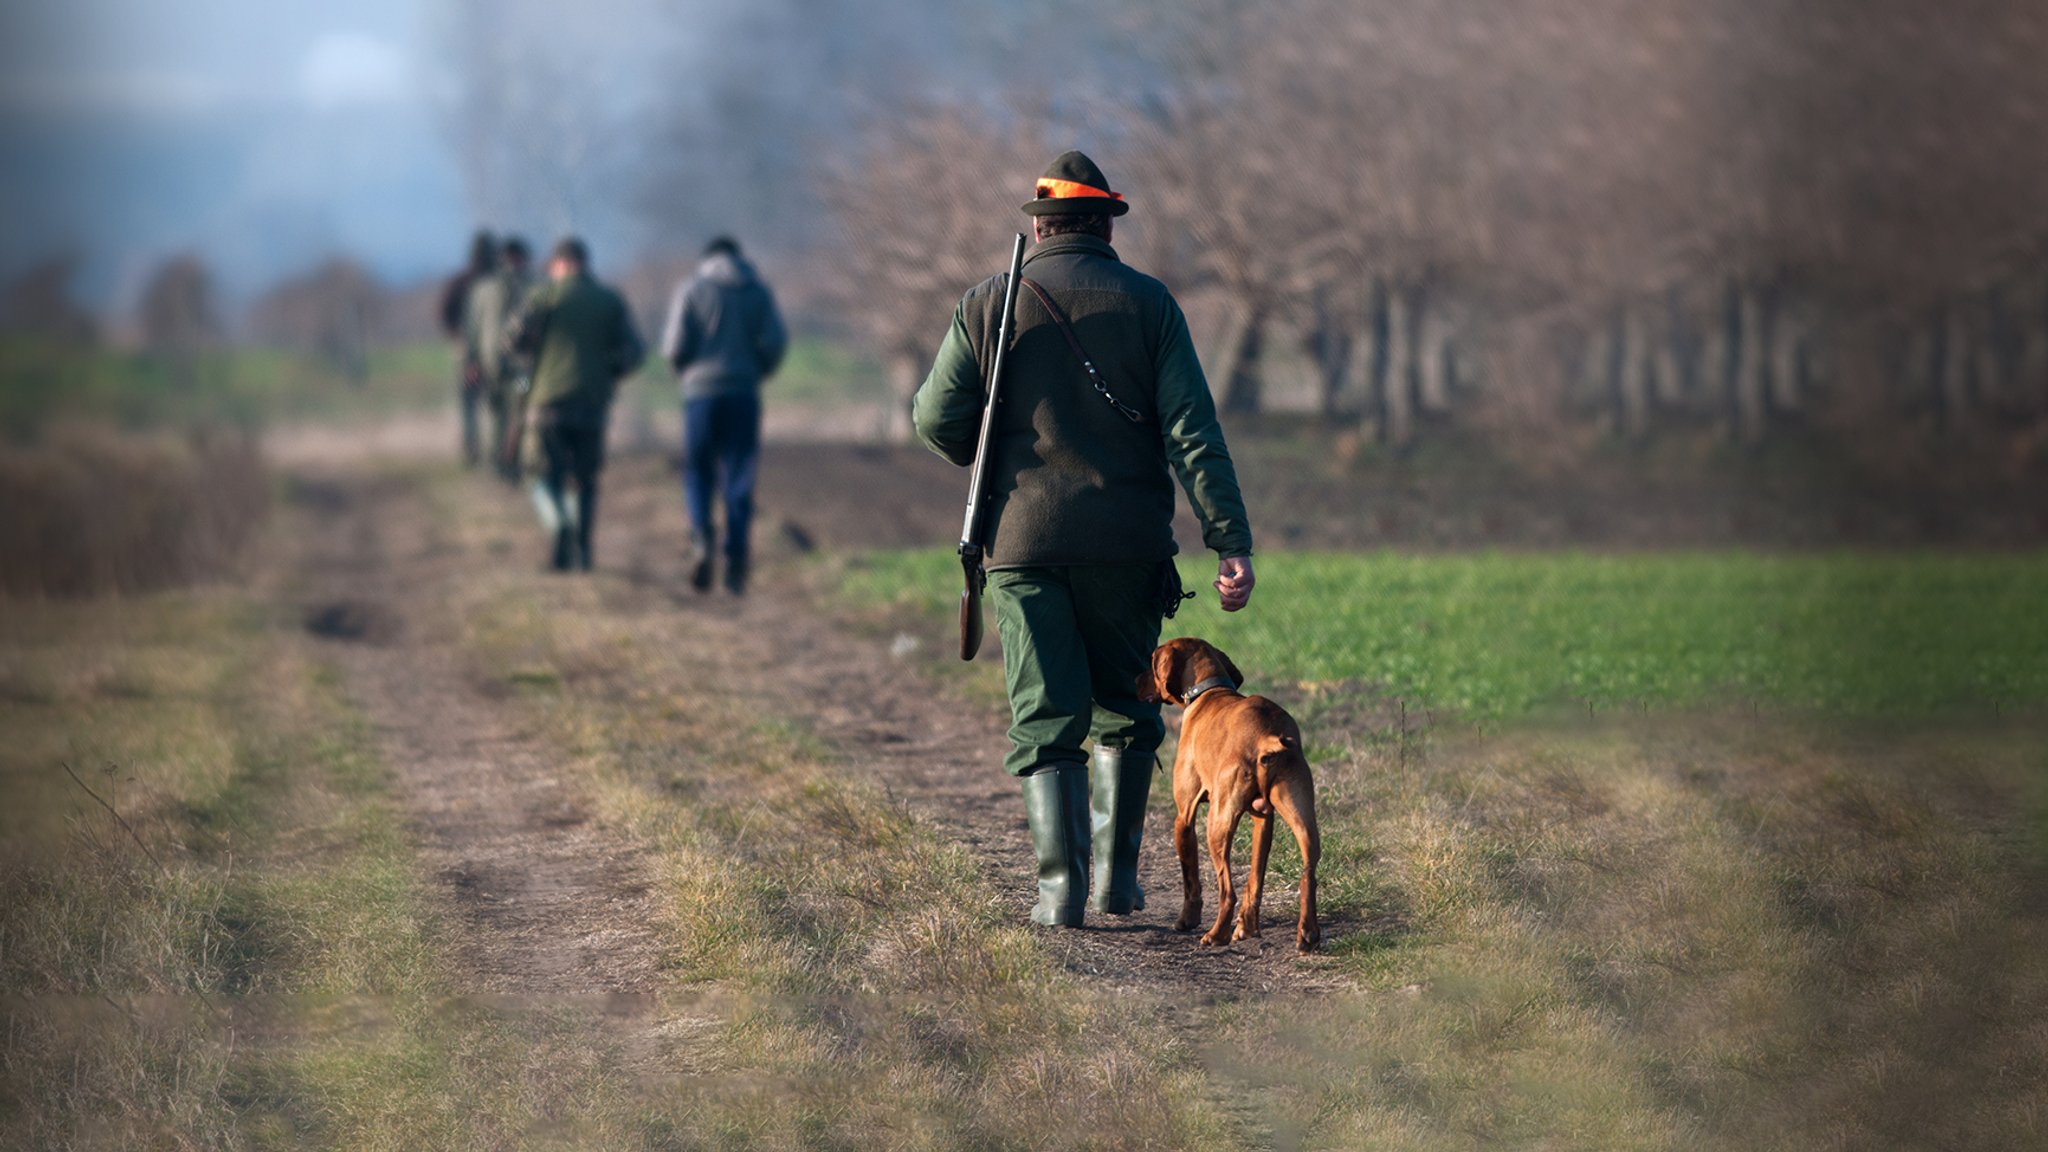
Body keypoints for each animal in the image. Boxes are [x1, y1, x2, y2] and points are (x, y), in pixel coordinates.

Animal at [1138, 631, 1327, 947]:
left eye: (1151, 660)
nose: (1134, 680)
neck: (1209, 690)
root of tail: (1267, 736)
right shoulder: (1263, 819)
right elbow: (1255, 881)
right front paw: (1248, 928)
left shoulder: (1183, 818)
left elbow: (1191, 880)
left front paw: (1186, 920)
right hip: (1303, 818)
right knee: (1307, 874)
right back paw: (1307, 934)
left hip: (1217, 823)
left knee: (1227, 890)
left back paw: (1215, 935)